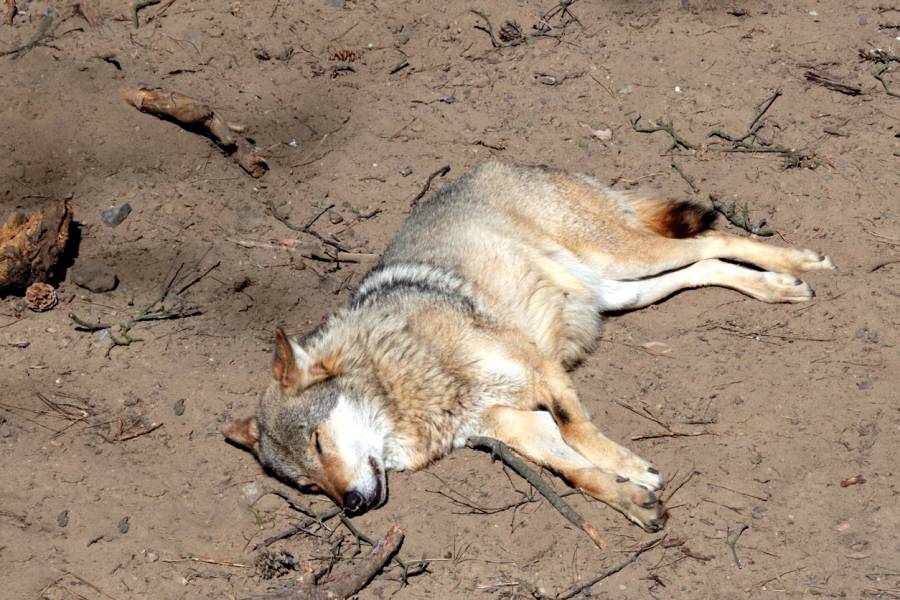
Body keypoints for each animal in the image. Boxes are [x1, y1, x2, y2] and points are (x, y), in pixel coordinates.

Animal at [223, 161, 828, 528]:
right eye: (307, 486)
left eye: (319, 442)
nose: (350, 505)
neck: (408, 378)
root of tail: (500, 164)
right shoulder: (513, 426)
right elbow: (574, 471)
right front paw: (631, 497)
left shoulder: (540, 370)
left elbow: (578, 430)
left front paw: (628, 465)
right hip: (624, 292)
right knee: (704, 267)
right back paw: (777, 287)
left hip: (627, 260)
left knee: (713, 238)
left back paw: (799, 264)